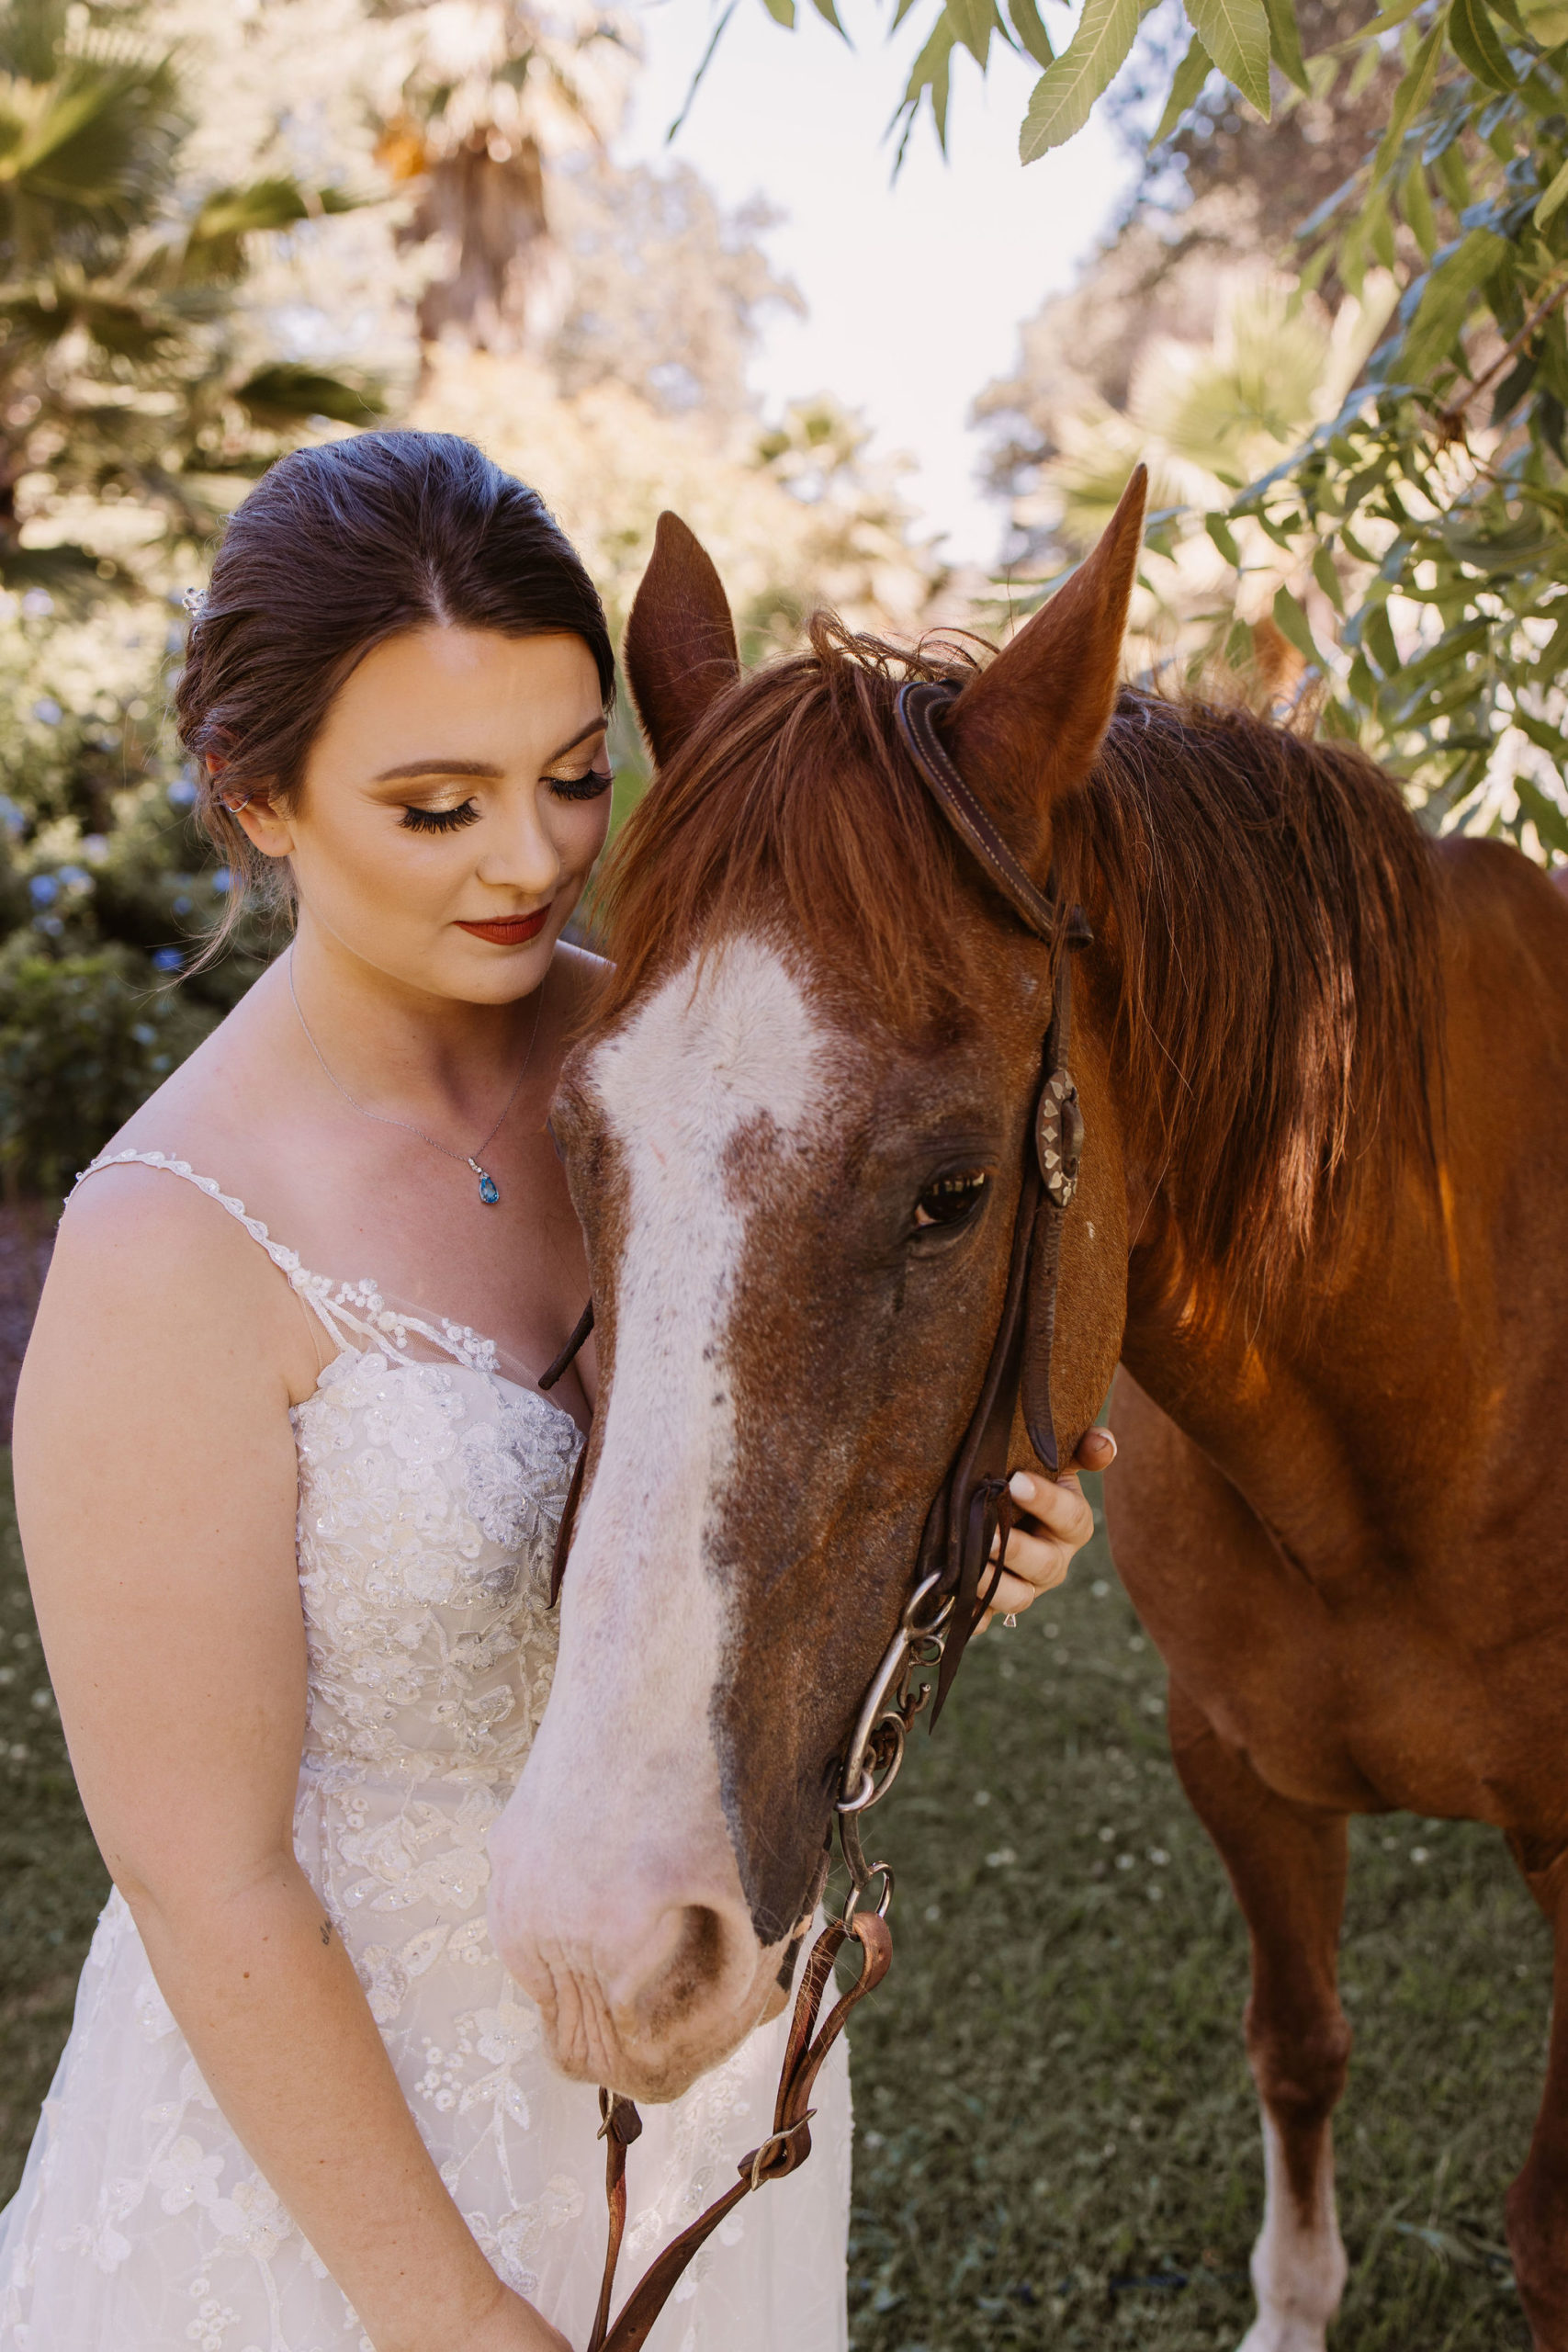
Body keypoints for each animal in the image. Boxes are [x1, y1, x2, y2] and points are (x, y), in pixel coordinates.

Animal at [493, 468, 1568, 2342]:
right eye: (576, 1141)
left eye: (953, 1191)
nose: (599, 1939)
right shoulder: (1235, 1770)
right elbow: (1298, 2048)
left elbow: (1548, 2218)